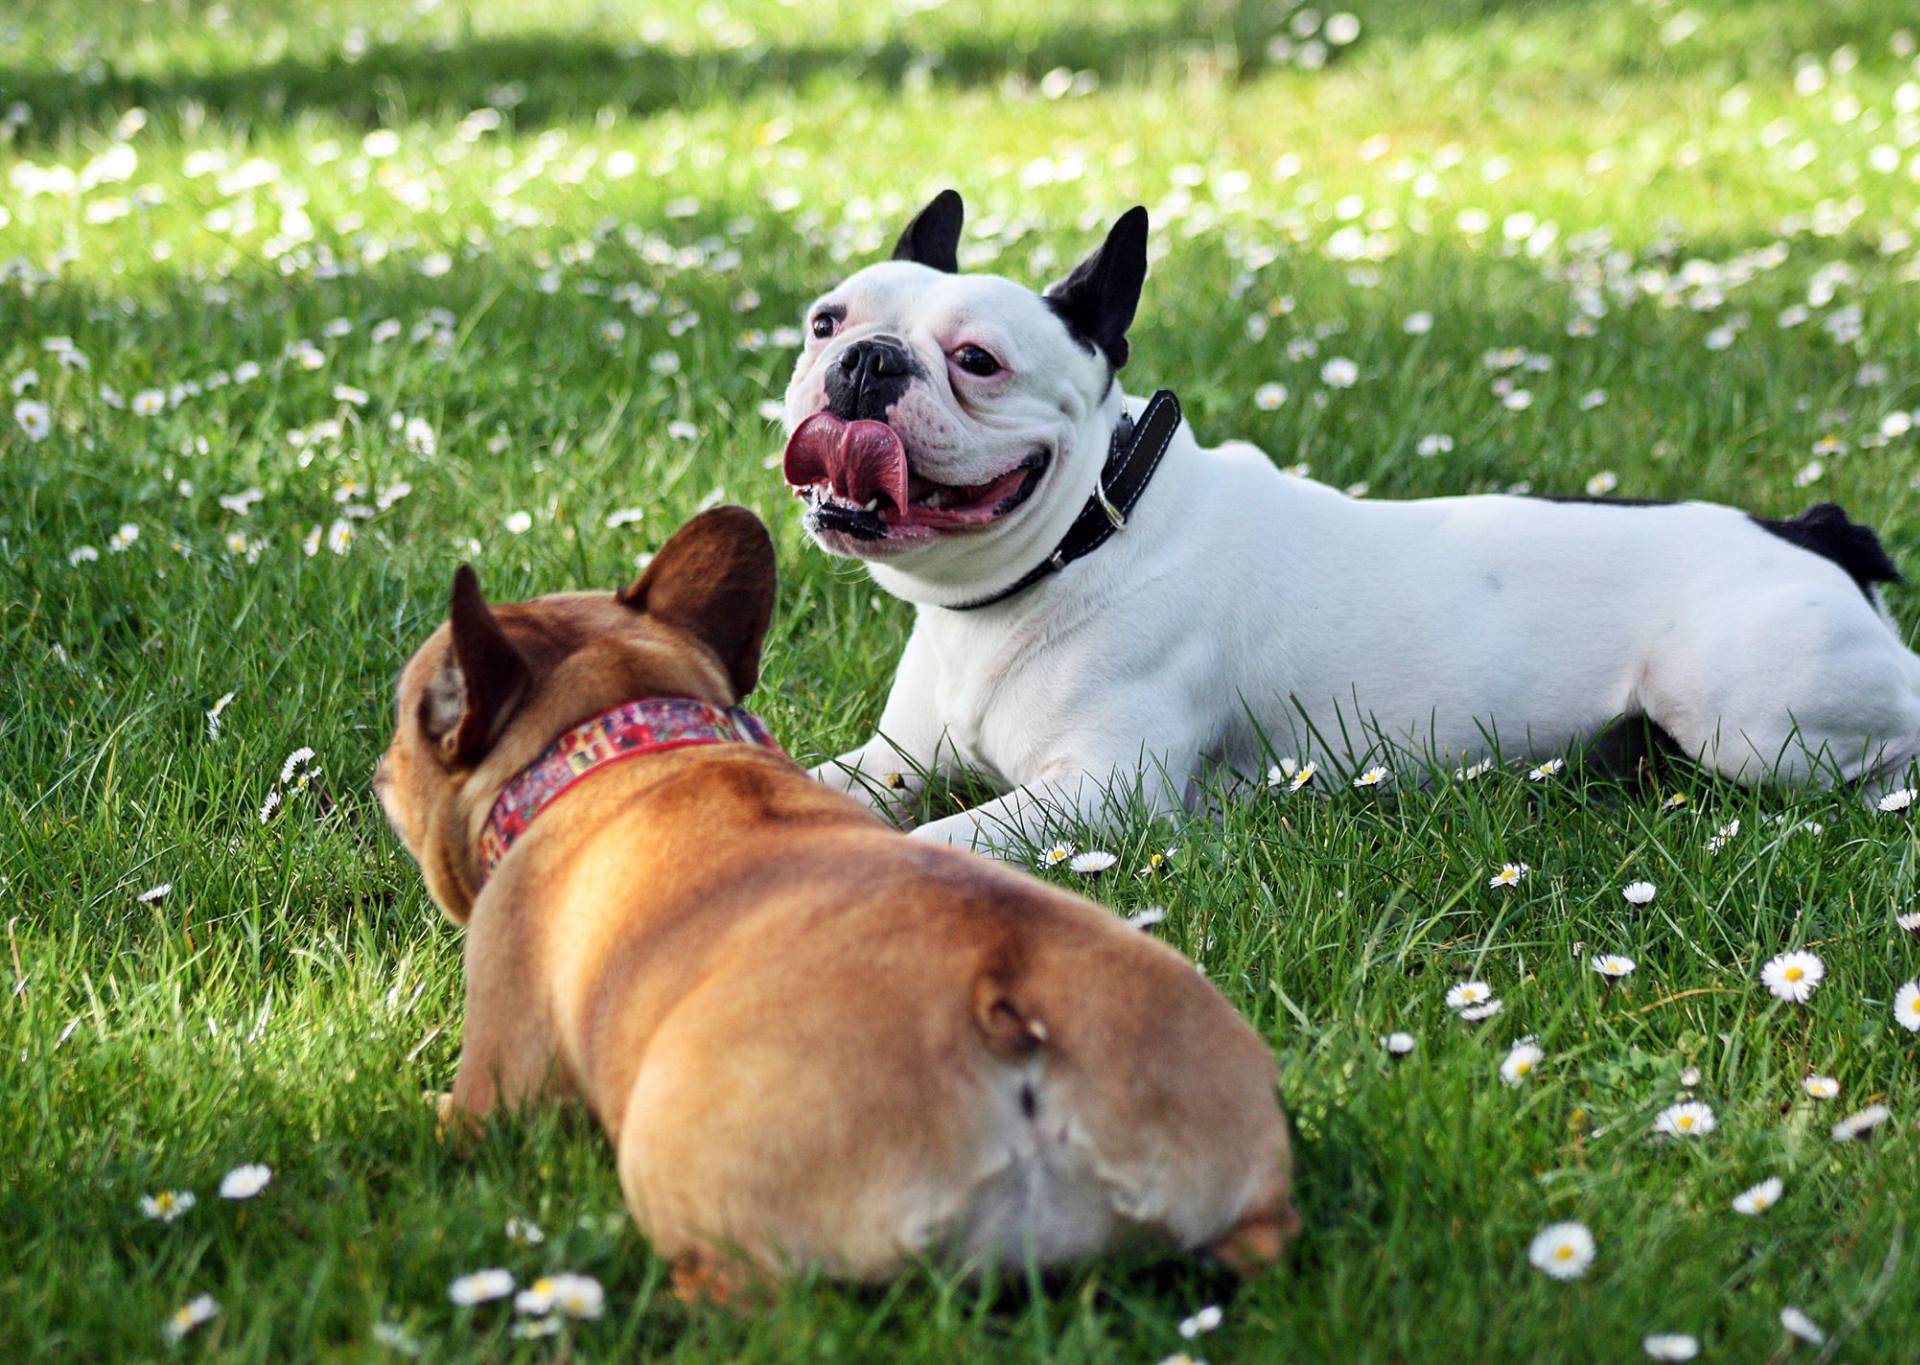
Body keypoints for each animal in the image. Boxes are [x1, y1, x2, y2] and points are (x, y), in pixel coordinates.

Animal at [374, 506, 1297, 1297]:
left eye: (412, 711)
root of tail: (1004, 1000)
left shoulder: (500, 1075)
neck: (636, 738)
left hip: (692, 1158)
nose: (381, 767)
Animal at [783, 191, 1920, 852]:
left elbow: (933, 846)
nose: (867, 361)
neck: (1076, 545)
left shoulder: (1101, 792)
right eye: (826, 322)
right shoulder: (893, 759)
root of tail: (1810, 529)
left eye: (977, 361)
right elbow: (806, 781)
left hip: (1744, 709)